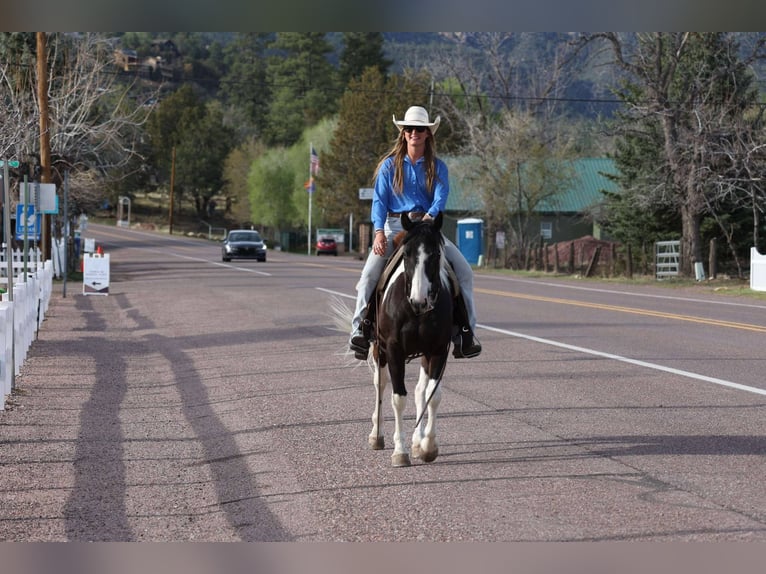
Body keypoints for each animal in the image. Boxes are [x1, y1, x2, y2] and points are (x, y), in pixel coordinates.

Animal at [369, 212, 454, 467]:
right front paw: (400, 451)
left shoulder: (439, 350)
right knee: (380, 384)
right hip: (379, 350)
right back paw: (377, 435)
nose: (420, 300)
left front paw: (427, 446)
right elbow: (398, 397)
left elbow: (433, 395)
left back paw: (418, 441)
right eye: (406, 254)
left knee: (420, 391)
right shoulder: (394, 350)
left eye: (436, 254)